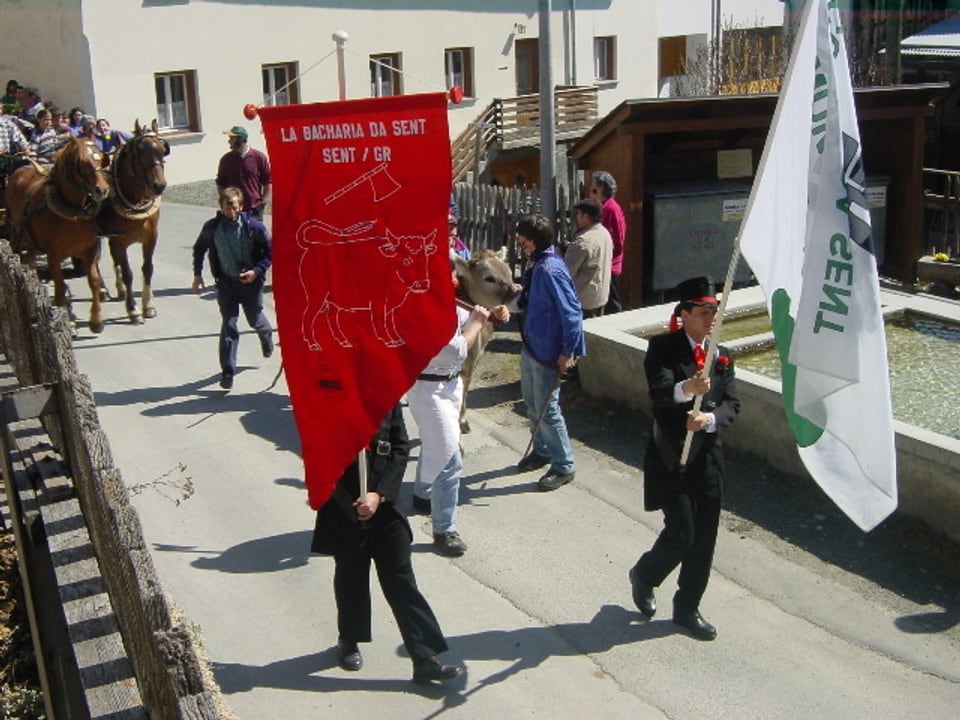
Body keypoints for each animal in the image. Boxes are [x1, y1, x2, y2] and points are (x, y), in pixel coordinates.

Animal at [4, 137, 111, 332]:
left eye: (100, 159)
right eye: (81, 162)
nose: (102, 189)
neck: (71, 213)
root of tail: (20, 169)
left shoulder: (90, 250)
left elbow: (93, 280)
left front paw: (96, 320)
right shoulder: (53, 255)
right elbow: (60, 286)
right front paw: (69, 321)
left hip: (31, 241)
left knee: (30, 260)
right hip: (15, 233)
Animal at [98, 119, 170, 322]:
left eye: (163, 149)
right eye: (141, 151)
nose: (159, 185)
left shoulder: (151, 237)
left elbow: (147, 269)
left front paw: (148, 305)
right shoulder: (120, 241)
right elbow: (128, 273)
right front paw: (133, 309)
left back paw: (120, 289)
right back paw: (103, 290)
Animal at [296, 219, 438, 354]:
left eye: (425, 258)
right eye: (406, 260)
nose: (422, 284)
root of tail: (312, 246)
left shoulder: (389, 306)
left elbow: (389, 322)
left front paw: (398, 339)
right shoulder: (378, 302)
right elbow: (380, 322)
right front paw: (389, 341)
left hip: (332, 301)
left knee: (331, 318)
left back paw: (344, 342)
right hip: (316, 297)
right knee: (308, 317)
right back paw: (314, 345)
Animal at [454, 248, 520, 430]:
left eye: (509, 272)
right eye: (489, 278)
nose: (521, 298)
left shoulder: (475, 358)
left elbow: (465, 386)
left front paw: (463, 420)